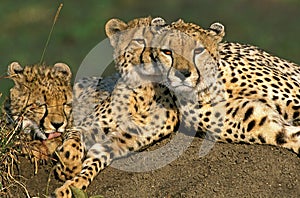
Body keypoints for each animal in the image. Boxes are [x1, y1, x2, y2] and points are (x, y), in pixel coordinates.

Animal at [53, 16, 178, 196]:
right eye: (139, 41)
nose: (153, 57)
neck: (145, 90)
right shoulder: (83, 126)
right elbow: (74, 142)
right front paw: (69, 166)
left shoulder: (119, 142)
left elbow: (94, 163)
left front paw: (72, 187)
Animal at [141, 19, 300, 155]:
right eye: (167, 52)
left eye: (198, 51)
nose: (182, 74)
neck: (210, 91)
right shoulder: (266, 125)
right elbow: (290, 136)